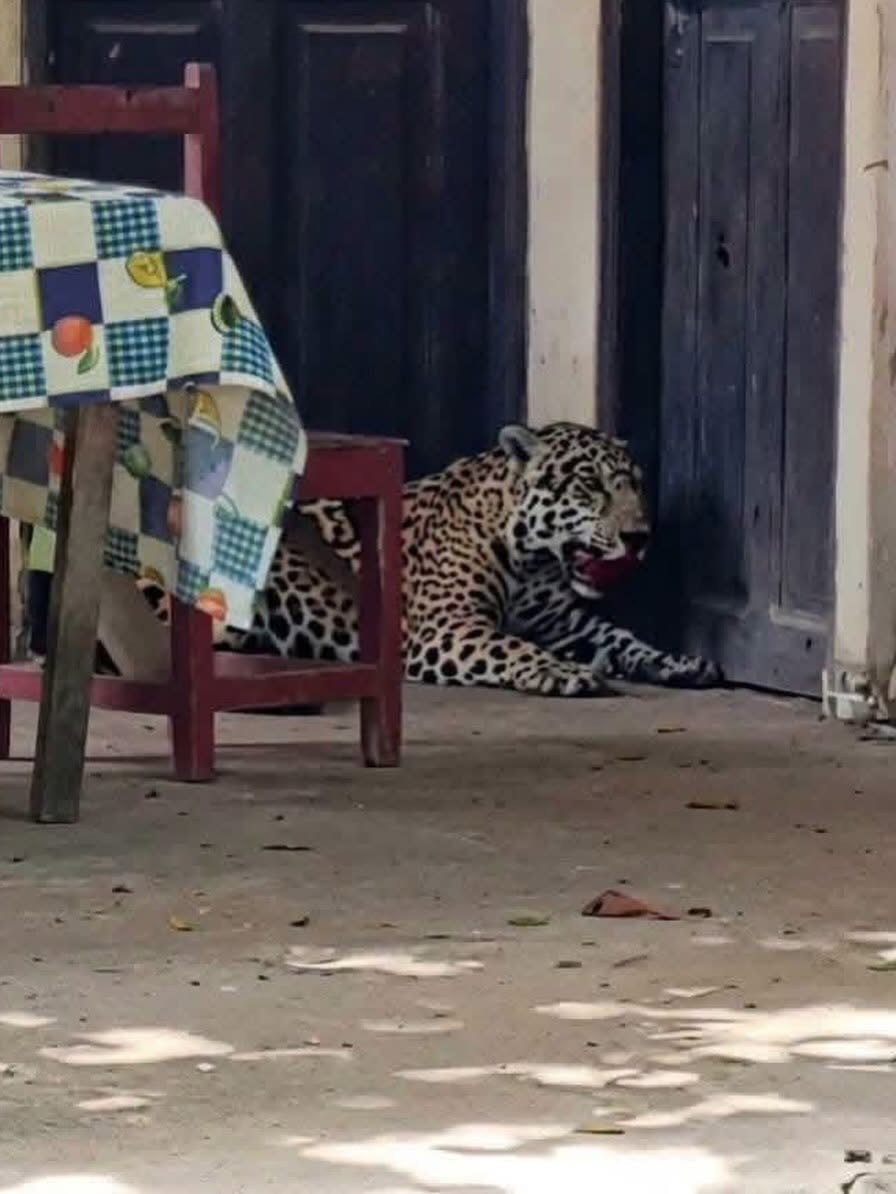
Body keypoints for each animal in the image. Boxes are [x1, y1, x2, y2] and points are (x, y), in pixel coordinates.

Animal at [138, 420, 722, 697]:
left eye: (635, 486)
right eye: (590, 485)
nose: (640, 536)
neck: (534, 562)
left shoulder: (565, 624)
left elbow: (623, 639)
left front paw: (679, 663)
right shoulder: (448, 626)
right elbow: (513, 646)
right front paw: (562, 672)